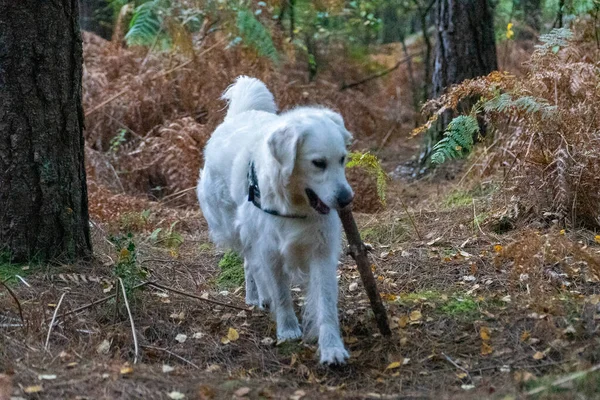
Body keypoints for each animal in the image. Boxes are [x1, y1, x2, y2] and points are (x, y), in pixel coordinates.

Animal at [197, 76, 356, 366]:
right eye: (318, 163)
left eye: (342, 159)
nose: (346, 199)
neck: (294, 206)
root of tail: (240, 114)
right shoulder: (269, 249)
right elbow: (281, 294)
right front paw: (288, 330)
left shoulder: (322, 251)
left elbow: (326, 303)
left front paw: (332, 348)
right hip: (235, 228)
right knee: (250, 263)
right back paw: (256, 296)